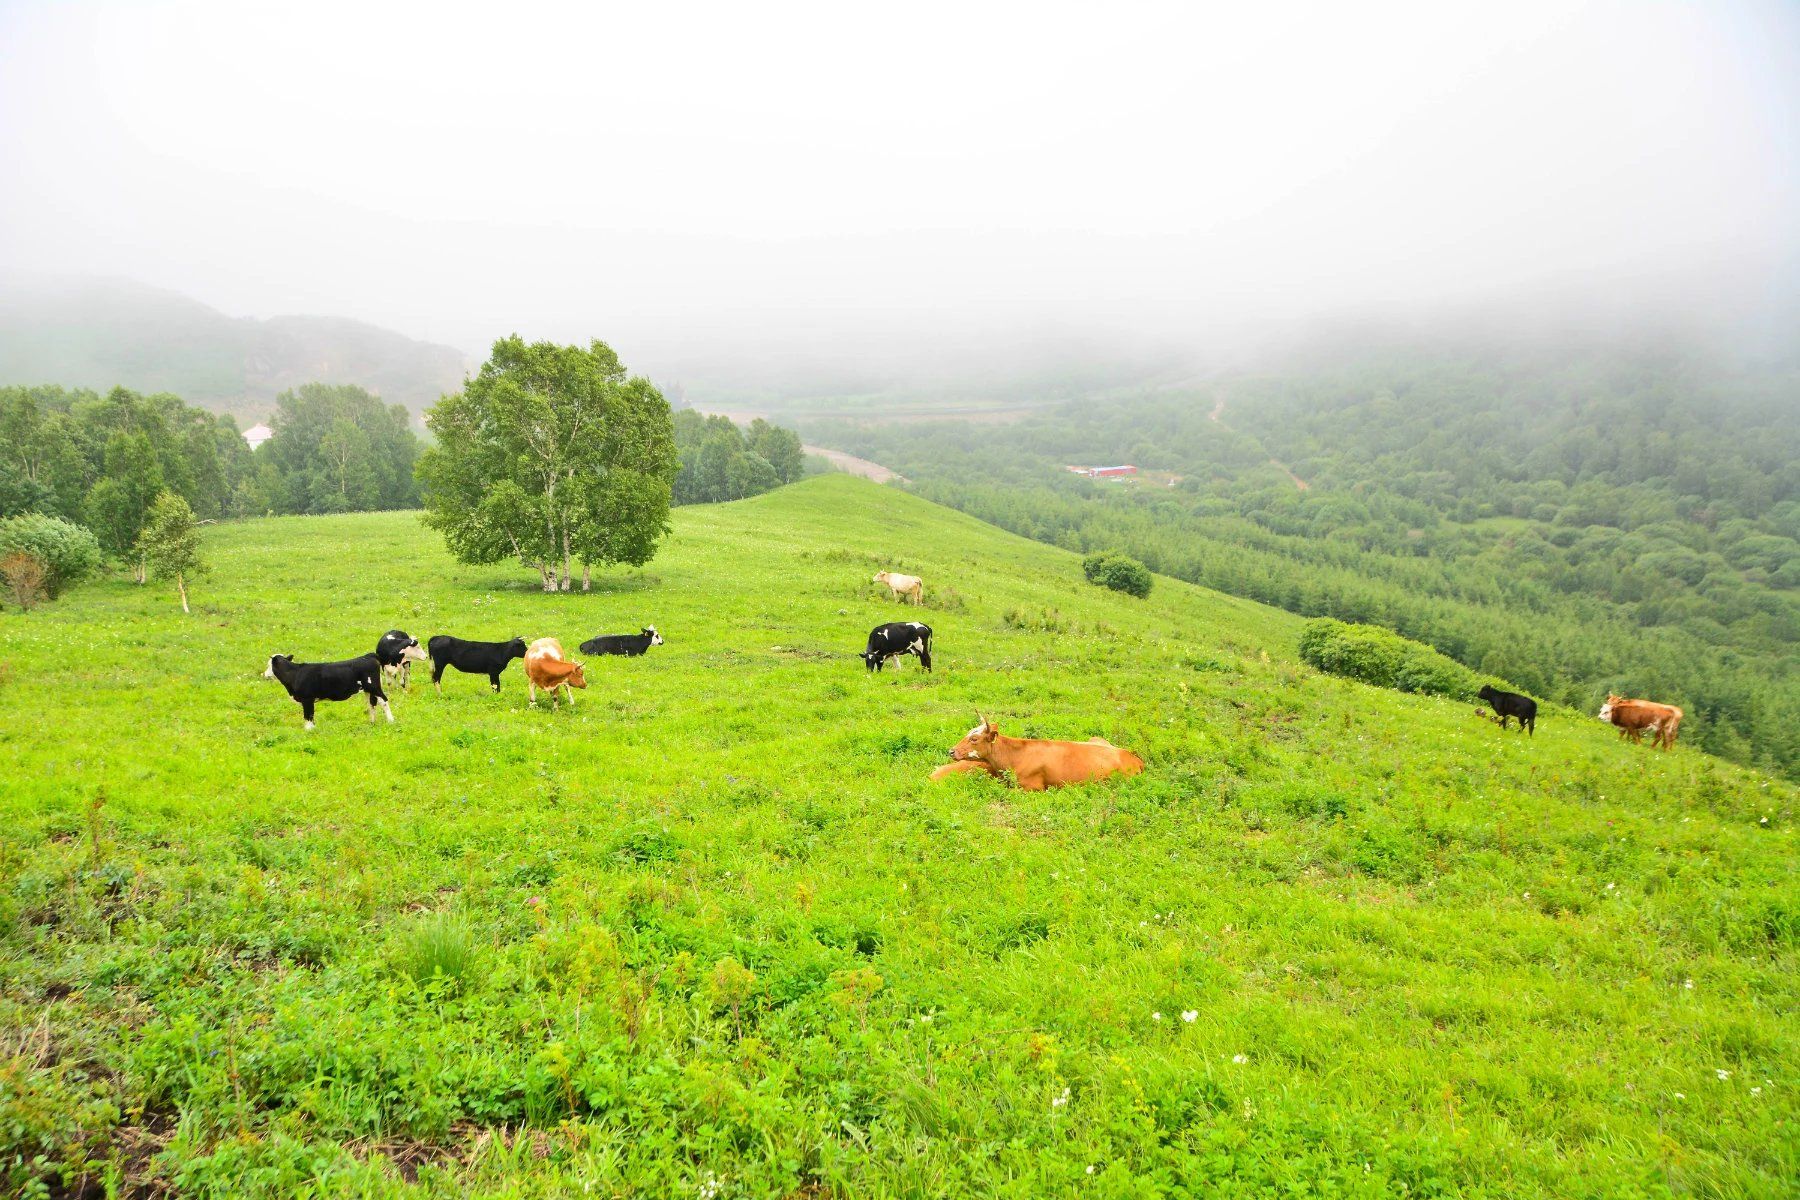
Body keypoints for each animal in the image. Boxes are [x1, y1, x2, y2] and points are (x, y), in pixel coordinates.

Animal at [262, 651, 390, 726]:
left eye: (268, 665)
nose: (264, 674)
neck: (295, 674)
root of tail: (368, 656)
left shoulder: (307, 699)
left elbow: (308, 716)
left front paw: (309, 732)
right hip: (368, 690)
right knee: (371, 704)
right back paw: (372, 722)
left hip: (374, 687)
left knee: (384, 701)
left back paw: (391, 721)